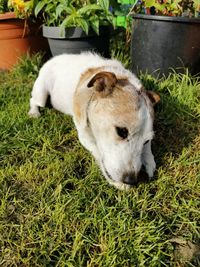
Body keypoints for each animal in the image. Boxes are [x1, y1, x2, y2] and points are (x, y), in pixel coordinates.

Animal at [28, 52, 159, 191]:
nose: (131, 180)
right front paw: (119, 183)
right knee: (33, 100)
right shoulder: (84, 135)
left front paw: (149, 161)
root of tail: (54, 58)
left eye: (146, 141)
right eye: (122, 132)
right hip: (41, 93)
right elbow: (98, 153)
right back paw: (34, 113)